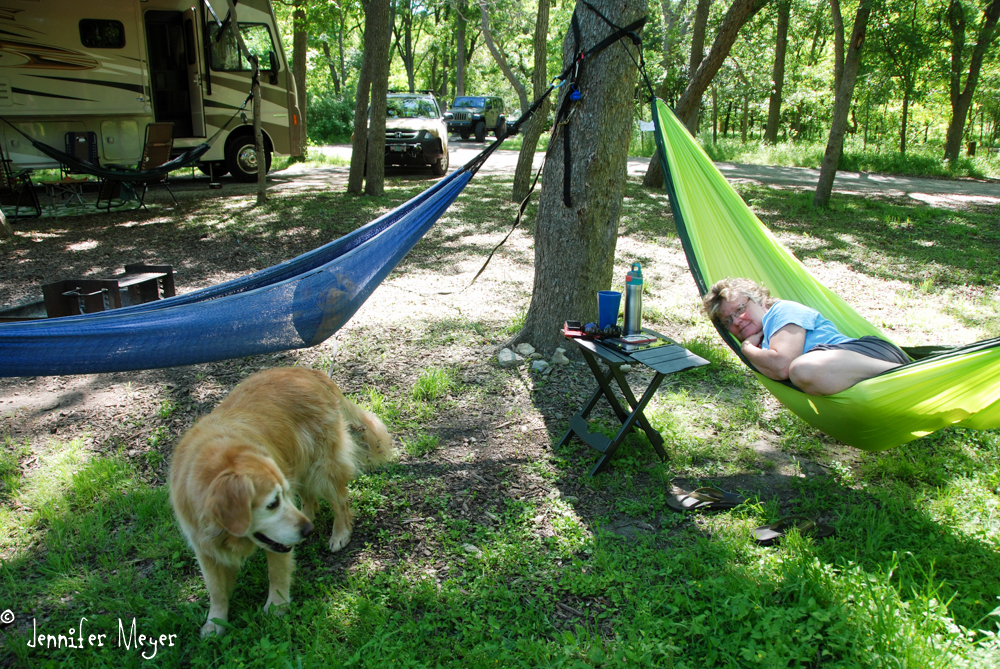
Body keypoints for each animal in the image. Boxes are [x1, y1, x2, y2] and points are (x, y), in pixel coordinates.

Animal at [170, 368, 392, 636]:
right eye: (272, 504)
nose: (307, 531)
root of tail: (307, 371)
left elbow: (275, 573)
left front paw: (276, 606)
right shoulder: (204, 548)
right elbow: (216, 590)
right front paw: (215, 623)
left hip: (321, 466)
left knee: (340, 502)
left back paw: (339, 533)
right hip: (298, 463)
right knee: (310, 499)